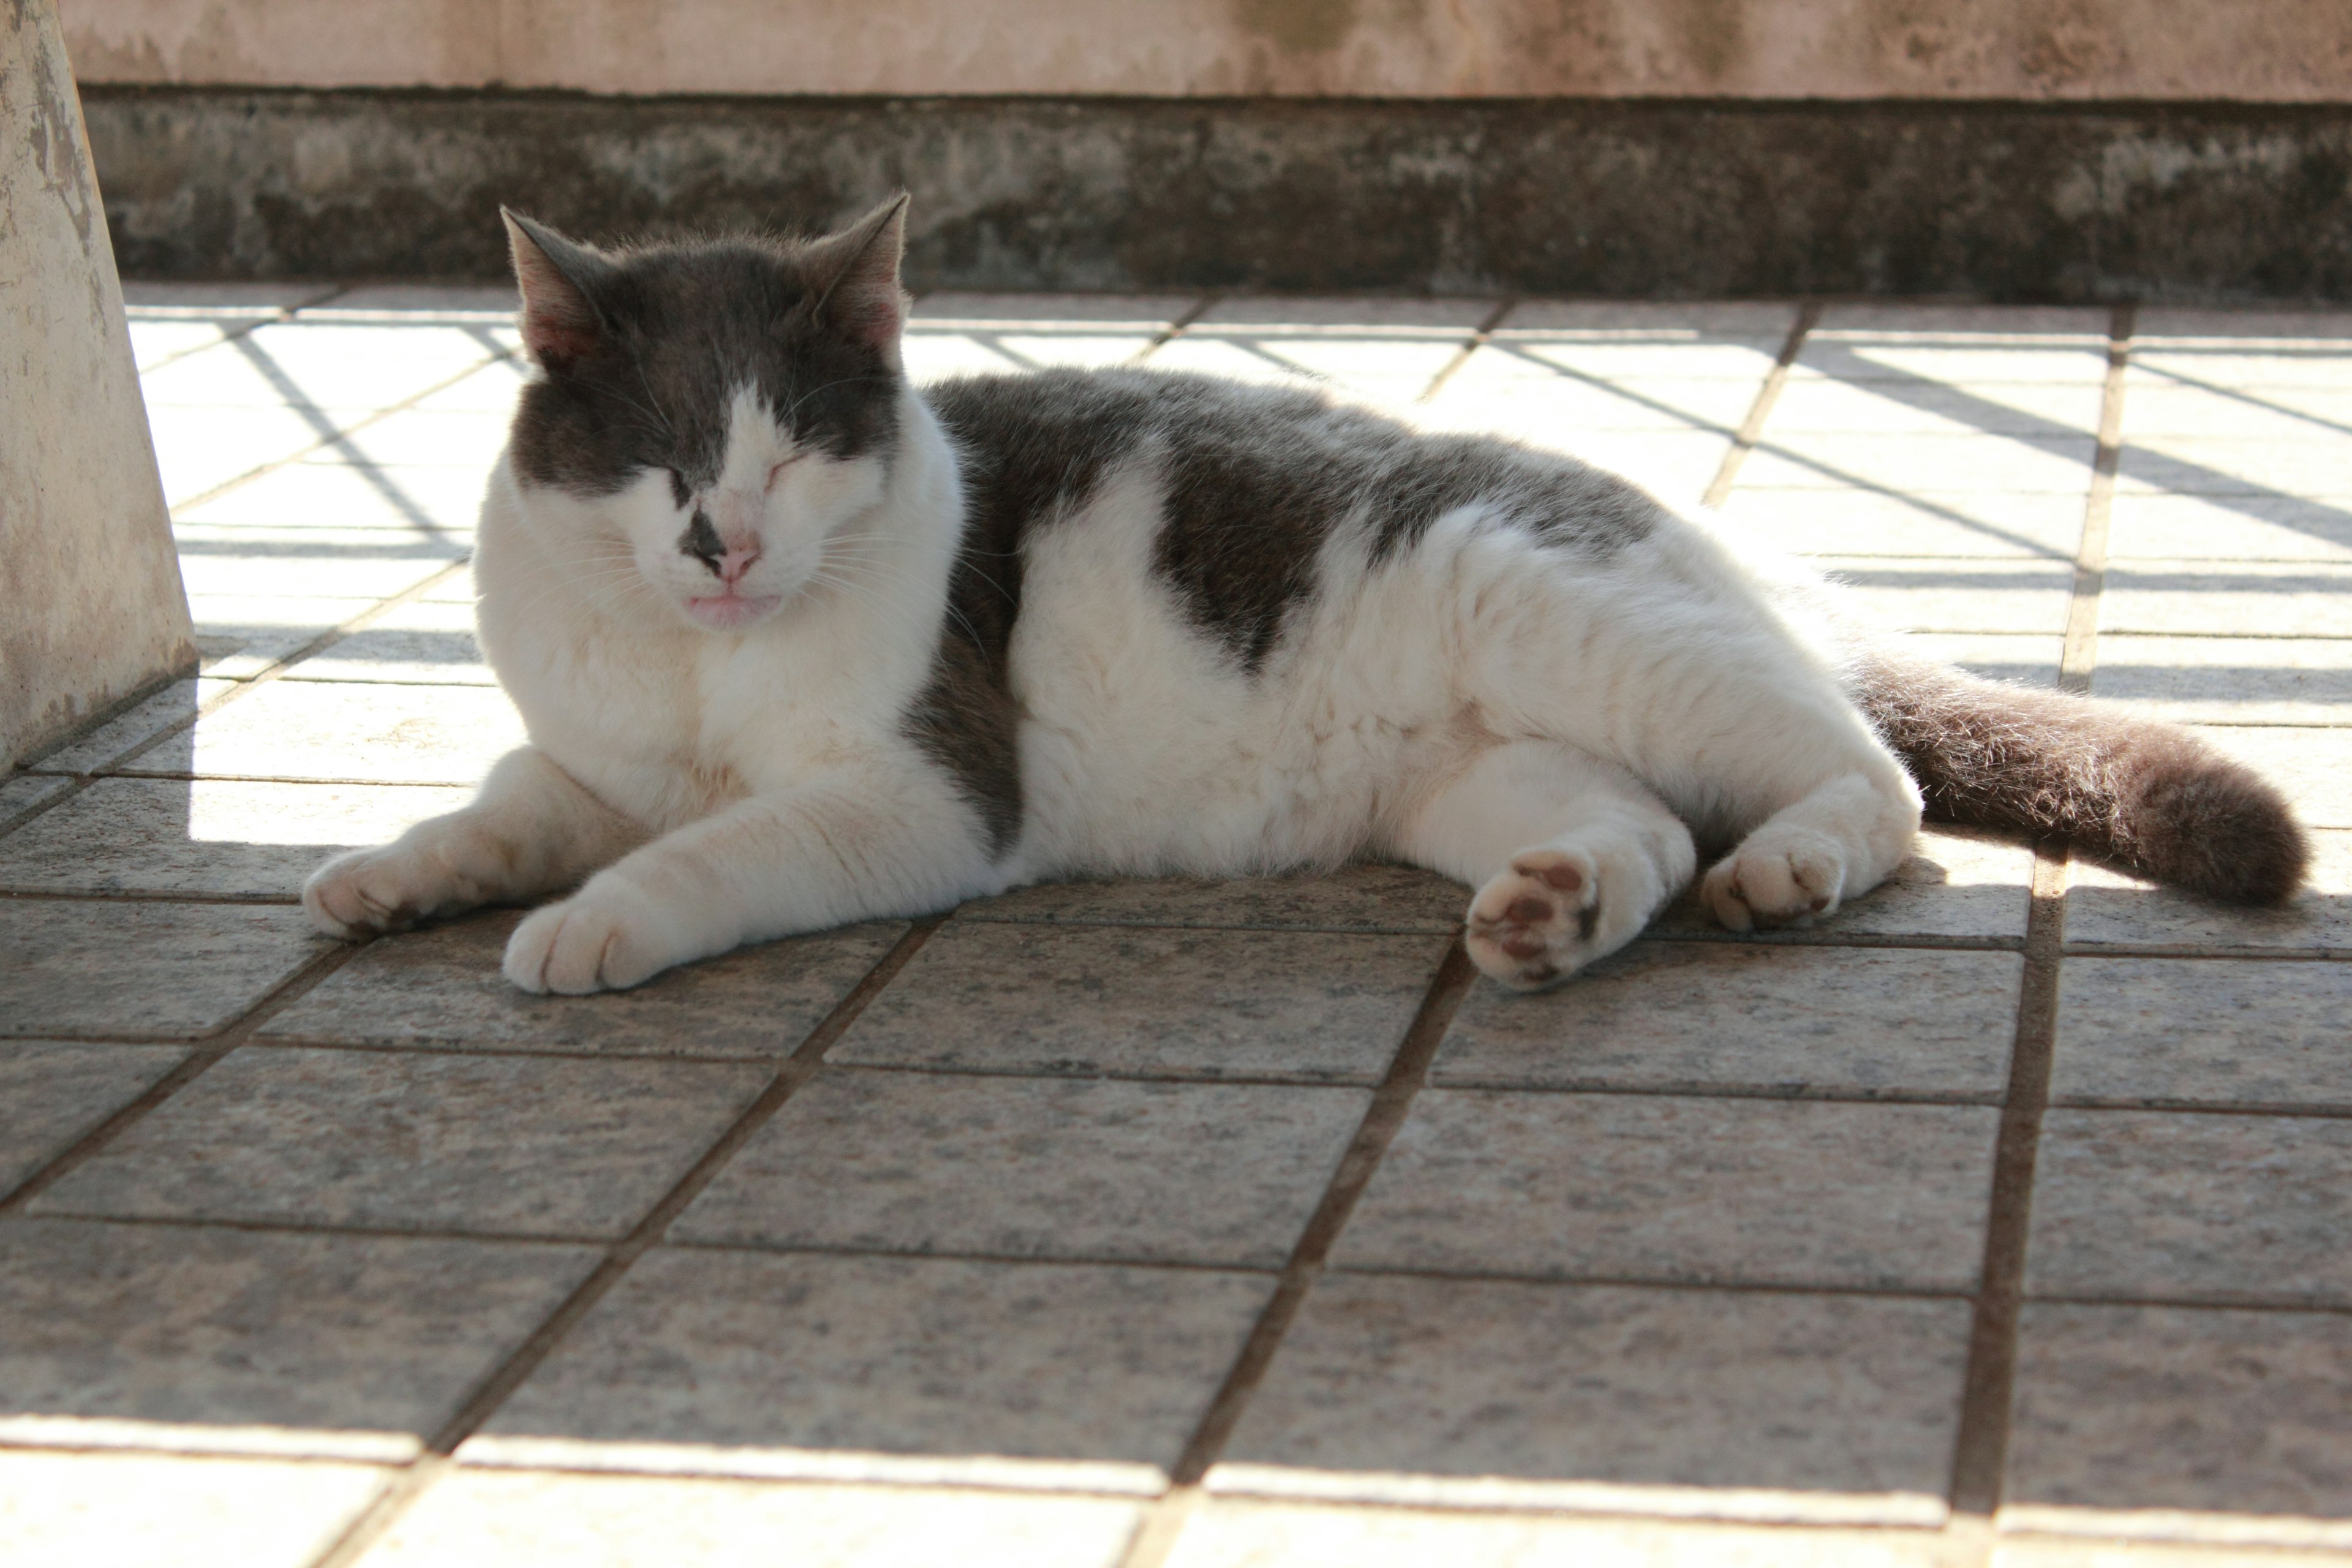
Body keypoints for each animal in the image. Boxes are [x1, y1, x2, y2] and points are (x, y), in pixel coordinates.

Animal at [303, 200, 2305, 992]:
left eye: (790, 446)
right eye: (658, 456)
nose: (722, 540)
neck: (695, 682)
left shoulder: (923, 790)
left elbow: (712, 851)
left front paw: (596, 922)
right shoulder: (590, 754)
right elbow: (509, 801)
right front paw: (389, 872)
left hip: (1565, 610)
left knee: (1869, 784)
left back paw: (1792, 865)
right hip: (1476, 772)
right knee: (1639, 823)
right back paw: (1557, 913)